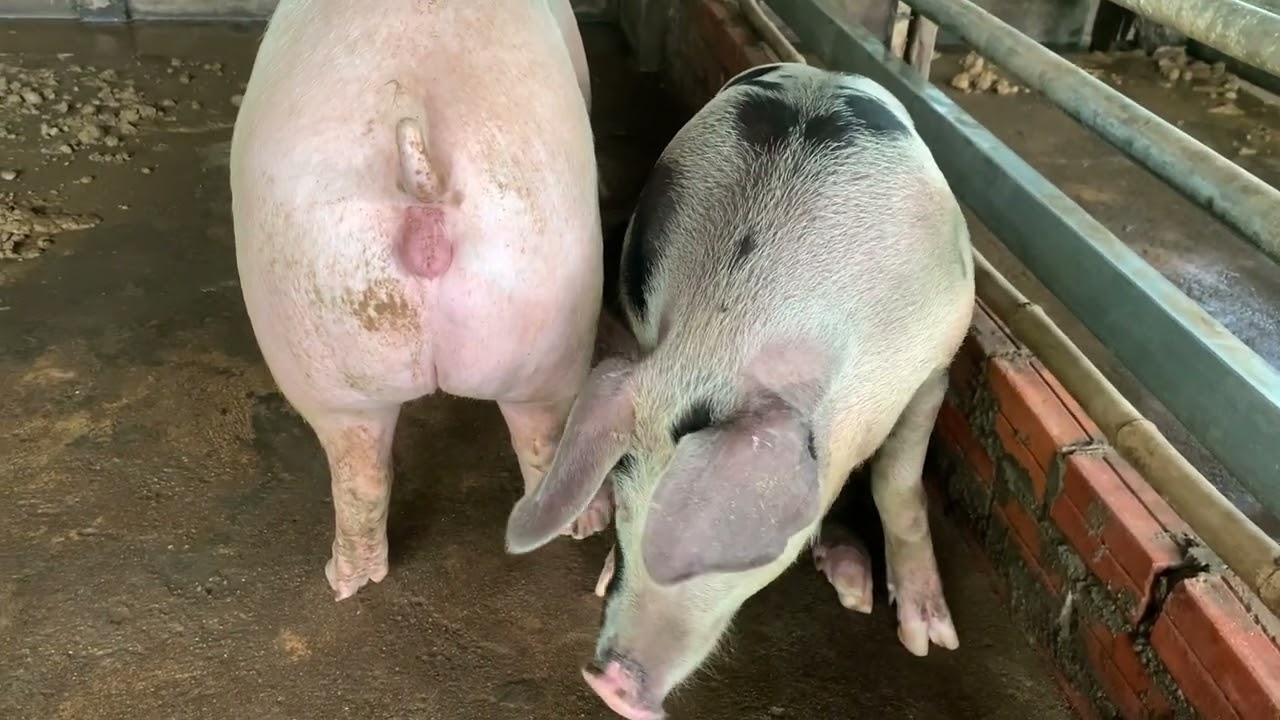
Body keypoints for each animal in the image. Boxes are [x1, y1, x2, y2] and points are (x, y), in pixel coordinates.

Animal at [504, 62, 975, 719]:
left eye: (740, 548)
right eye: (626, 508)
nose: (608, 684)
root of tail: (818, 72)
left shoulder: (936, 361)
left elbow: (898, 485)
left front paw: (927, 641)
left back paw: (855, 589)